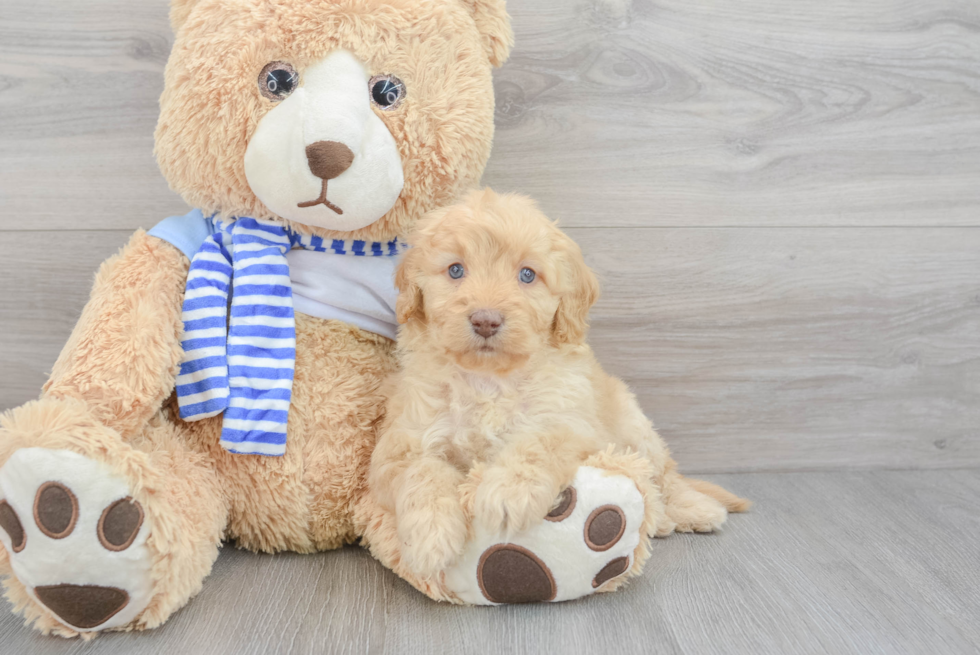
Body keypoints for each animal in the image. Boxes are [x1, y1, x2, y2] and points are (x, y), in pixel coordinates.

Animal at [370, 188, 752, 580]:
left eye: (527, 275)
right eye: (456, 270)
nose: (486, 320)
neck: (488, 380)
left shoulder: (571, 422)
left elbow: (539, 442)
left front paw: (507, 492)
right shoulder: (401, 440)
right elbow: (420, 470)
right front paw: (430, 538)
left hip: (636, 426)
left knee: (663, 476)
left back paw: (691, 510)